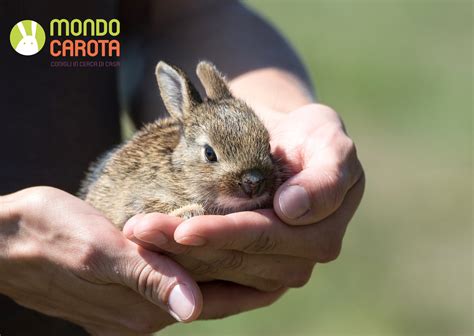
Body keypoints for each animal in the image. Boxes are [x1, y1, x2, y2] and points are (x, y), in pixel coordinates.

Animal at [80, 60, 284, 228]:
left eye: (268, 146)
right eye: (209, 154)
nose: (254, 181)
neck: (182, 174)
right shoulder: (137, 200)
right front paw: (190, 211)